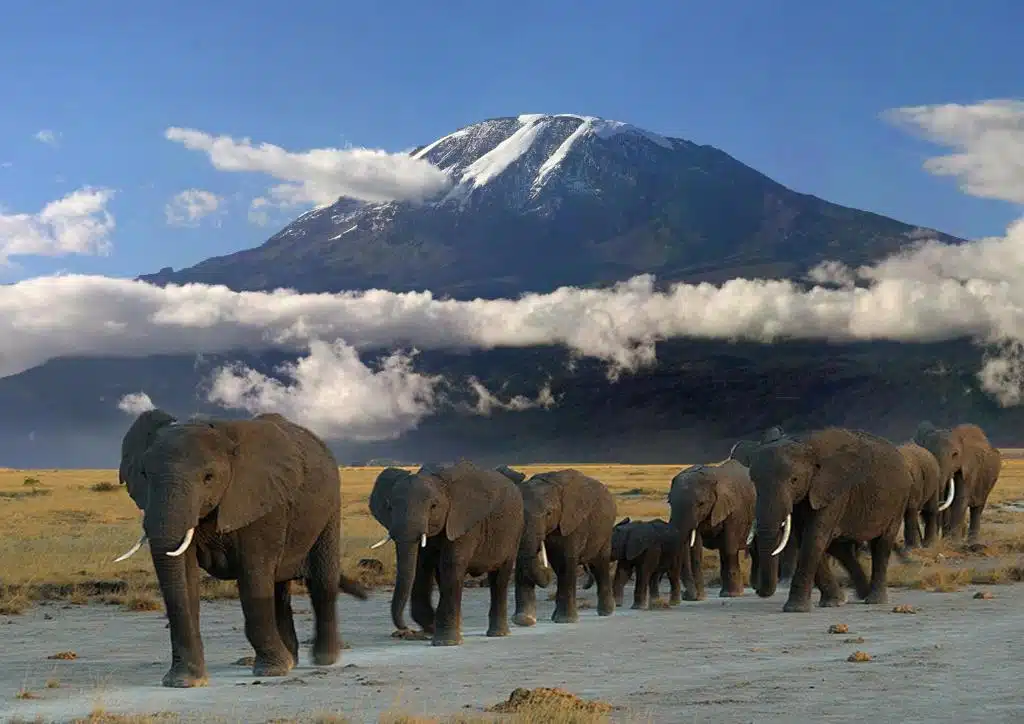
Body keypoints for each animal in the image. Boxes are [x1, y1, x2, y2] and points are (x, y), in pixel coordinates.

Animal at [114, 409, 368, 687]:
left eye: (208, 477)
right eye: (144, 475)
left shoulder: (262, 502)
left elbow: (253, 576)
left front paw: (271, 671)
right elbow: (185, 578)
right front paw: (185, 681)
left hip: (330, 509)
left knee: (321, 583)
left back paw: (323, 660)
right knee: (279, 589)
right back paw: (292, 660)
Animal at [367, 461, 524, 646]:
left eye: (433, 506)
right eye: (389, 507)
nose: (405, 629)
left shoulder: (463, 521)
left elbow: (451, 564)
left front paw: (445, 641)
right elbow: (421, 565)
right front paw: (434, 628)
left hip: (514, 531)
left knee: (499, 578)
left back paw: (498, 633)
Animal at [511, 469, 617, 626]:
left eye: (549, 513)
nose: (545, 570)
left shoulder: (573, 522)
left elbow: (566, 561)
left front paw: (565, 621)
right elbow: (522, 561)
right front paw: (524, 620)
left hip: (605, 531)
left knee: (599, 565)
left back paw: (606, 612)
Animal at [668, 459, 755, 601]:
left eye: (701, 504)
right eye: (670, 502)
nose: (687, 596)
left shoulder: (734, 511)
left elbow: (729, 548)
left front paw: (731, 595)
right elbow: (695, 549)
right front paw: (698, 598)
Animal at [747, 427, 915, 613]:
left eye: (794, 480)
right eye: (754, 481)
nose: (756, 589)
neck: (803, 442)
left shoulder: (832, 490)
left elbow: (814, 538)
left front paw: (795, 609)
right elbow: (805, 538)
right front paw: (834, 602)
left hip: (899, 500)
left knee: (882, 544)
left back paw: (874, 600)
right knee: (840, 549)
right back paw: (859, 595)